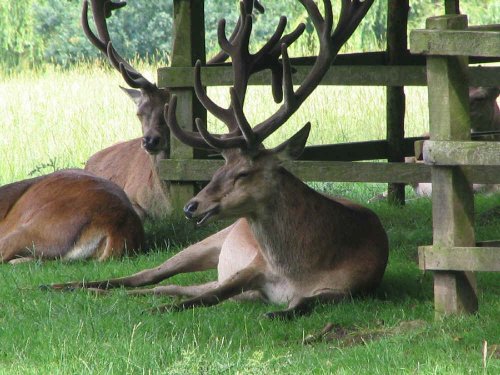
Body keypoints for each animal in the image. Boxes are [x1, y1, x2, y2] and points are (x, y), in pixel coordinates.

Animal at [49, 0, 386, 320]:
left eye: (243, 172)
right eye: (219, 168)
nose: (191, 206)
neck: (298, 271)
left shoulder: (354, 287)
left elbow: (303, 303)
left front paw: (279, 311)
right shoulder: (252, 266)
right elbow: (210, 296)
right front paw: (160, 311)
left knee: (170, 286)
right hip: (211, 240)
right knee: (147, 275)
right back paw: (65, 285)